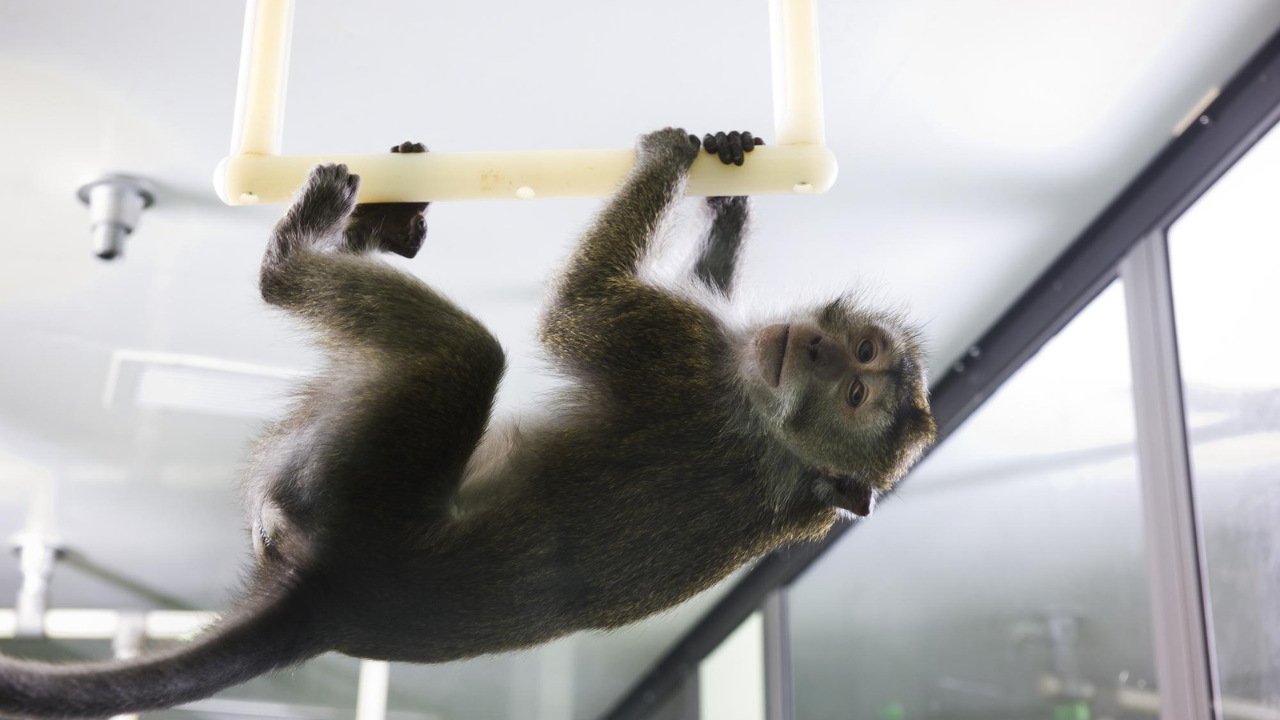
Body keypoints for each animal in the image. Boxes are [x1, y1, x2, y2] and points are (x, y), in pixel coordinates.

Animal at [0, 128, 936, 719]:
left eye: (859, 395)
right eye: (860, 353)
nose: (815, 349)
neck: (790, 448)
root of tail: (332, 601)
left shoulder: (682, 360)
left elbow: (575, 311)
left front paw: (668, 157)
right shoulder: (712, 349)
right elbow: (696, 282)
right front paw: (729, 194)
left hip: (350, 483)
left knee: (467, 354)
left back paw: (299, 250)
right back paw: (384, 226)